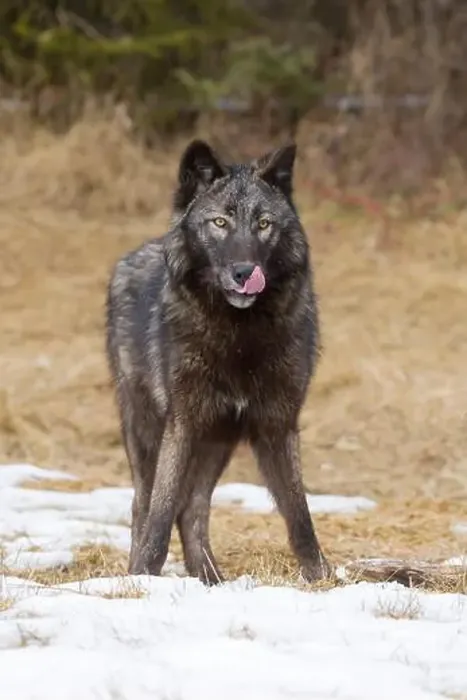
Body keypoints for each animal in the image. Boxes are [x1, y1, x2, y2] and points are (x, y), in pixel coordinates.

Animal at [105, 139, 331, 584]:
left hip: (218, 440)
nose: (245, 272)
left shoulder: (277, 425)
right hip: (147, 432)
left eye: (264, 223)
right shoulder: (183, 423)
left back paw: (211, 580)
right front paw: (144, 577)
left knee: (192, 508)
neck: (239, 338)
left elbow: (299, 516)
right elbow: (159, 515)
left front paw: (322, 579)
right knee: (145, 505)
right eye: (220, 222)